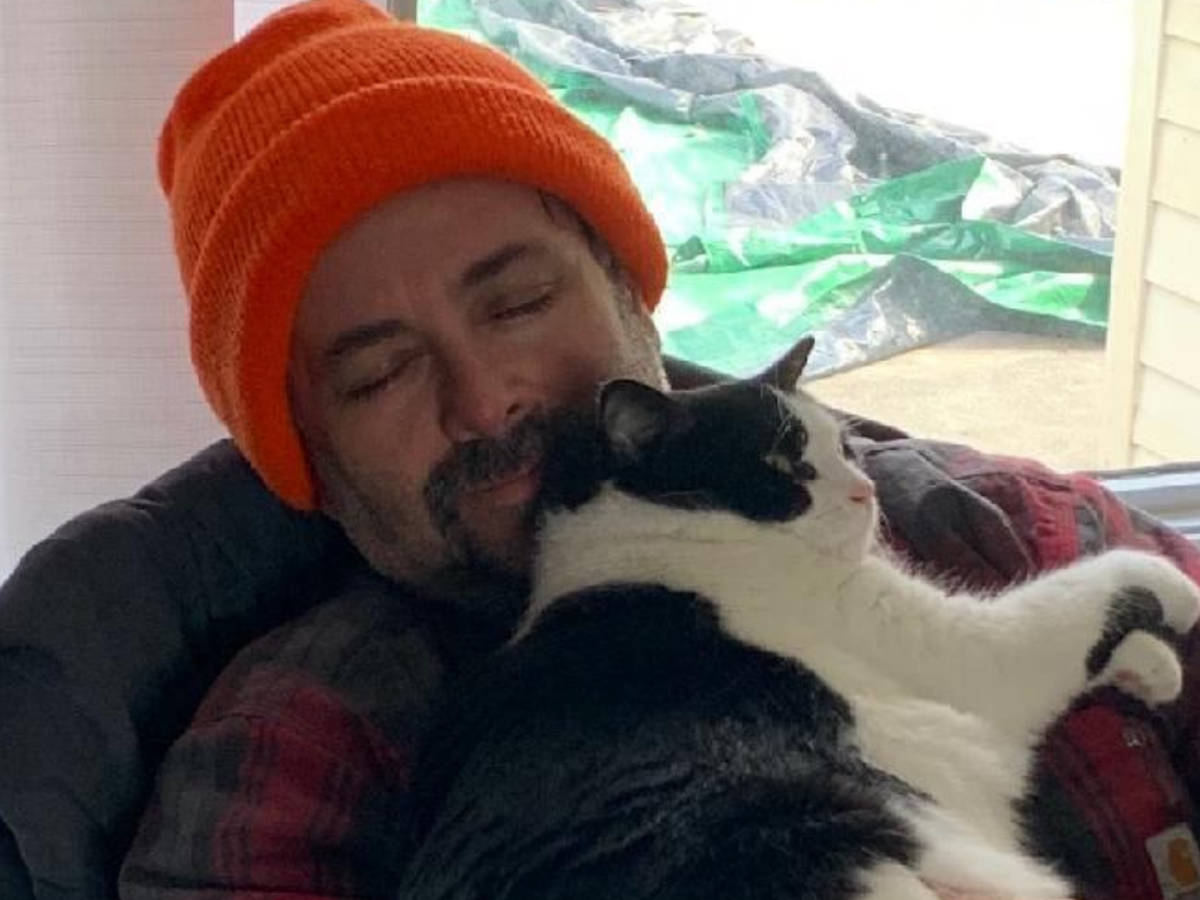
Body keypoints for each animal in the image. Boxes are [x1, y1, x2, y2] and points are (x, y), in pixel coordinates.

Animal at [397, 336, 1200, 900]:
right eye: (787, 466)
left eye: (842, 445)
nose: (864, 489)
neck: (663, 539)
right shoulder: (975, 651)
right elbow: (1093, 582)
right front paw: (1180, 593)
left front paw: (1154, 668)